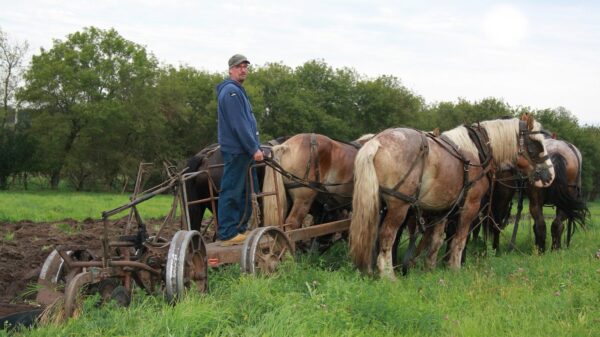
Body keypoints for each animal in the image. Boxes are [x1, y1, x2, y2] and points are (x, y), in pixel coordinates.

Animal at [350, 115, 556, 278]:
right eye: (536, 144)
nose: (550, 176)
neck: (478, 152)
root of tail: (376, 142)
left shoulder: (442, 208)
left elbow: (436, 240)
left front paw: (429, 268)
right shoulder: (470, 205)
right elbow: (460, 238)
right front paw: (454, 267)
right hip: (399, 205)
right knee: (386, 235)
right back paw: (388, 275)